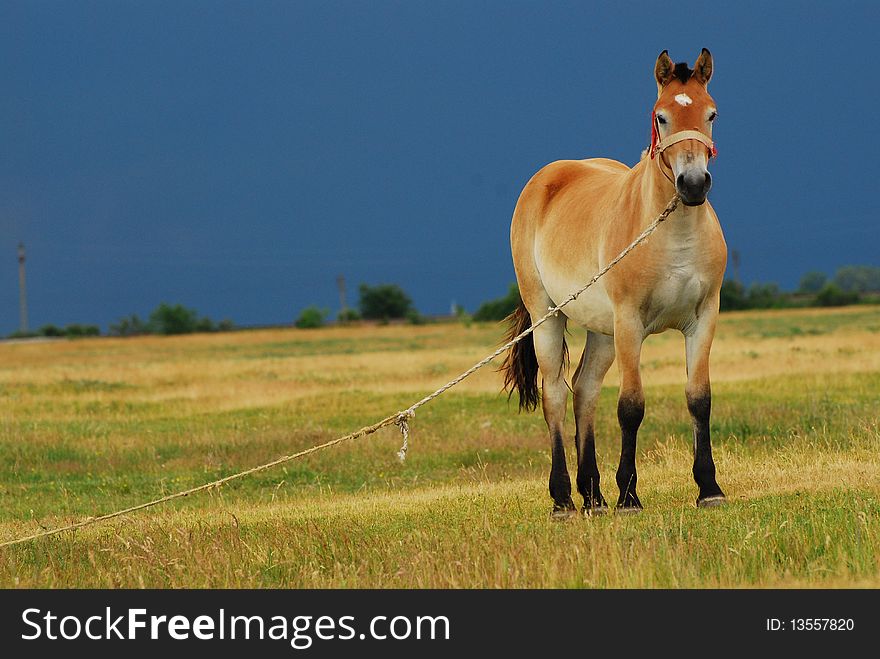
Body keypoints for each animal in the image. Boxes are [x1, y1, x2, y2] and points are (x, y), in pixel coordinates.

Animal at [502, 49, 728, 520]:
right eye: (661, 116)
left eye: (711, 113)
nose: (693, 185)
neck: (672, 234)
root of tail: (546, 179)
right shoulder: (630, 323)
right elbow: (631, 406)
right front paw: (629, 496)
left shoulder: (704, 318)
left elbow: (699, 398)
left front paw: (709, 488)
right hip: (547, 315)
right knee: (555, 394)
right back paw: (564, 499)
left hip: (601, 330)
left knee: (584, 391)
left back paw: (593, 495)